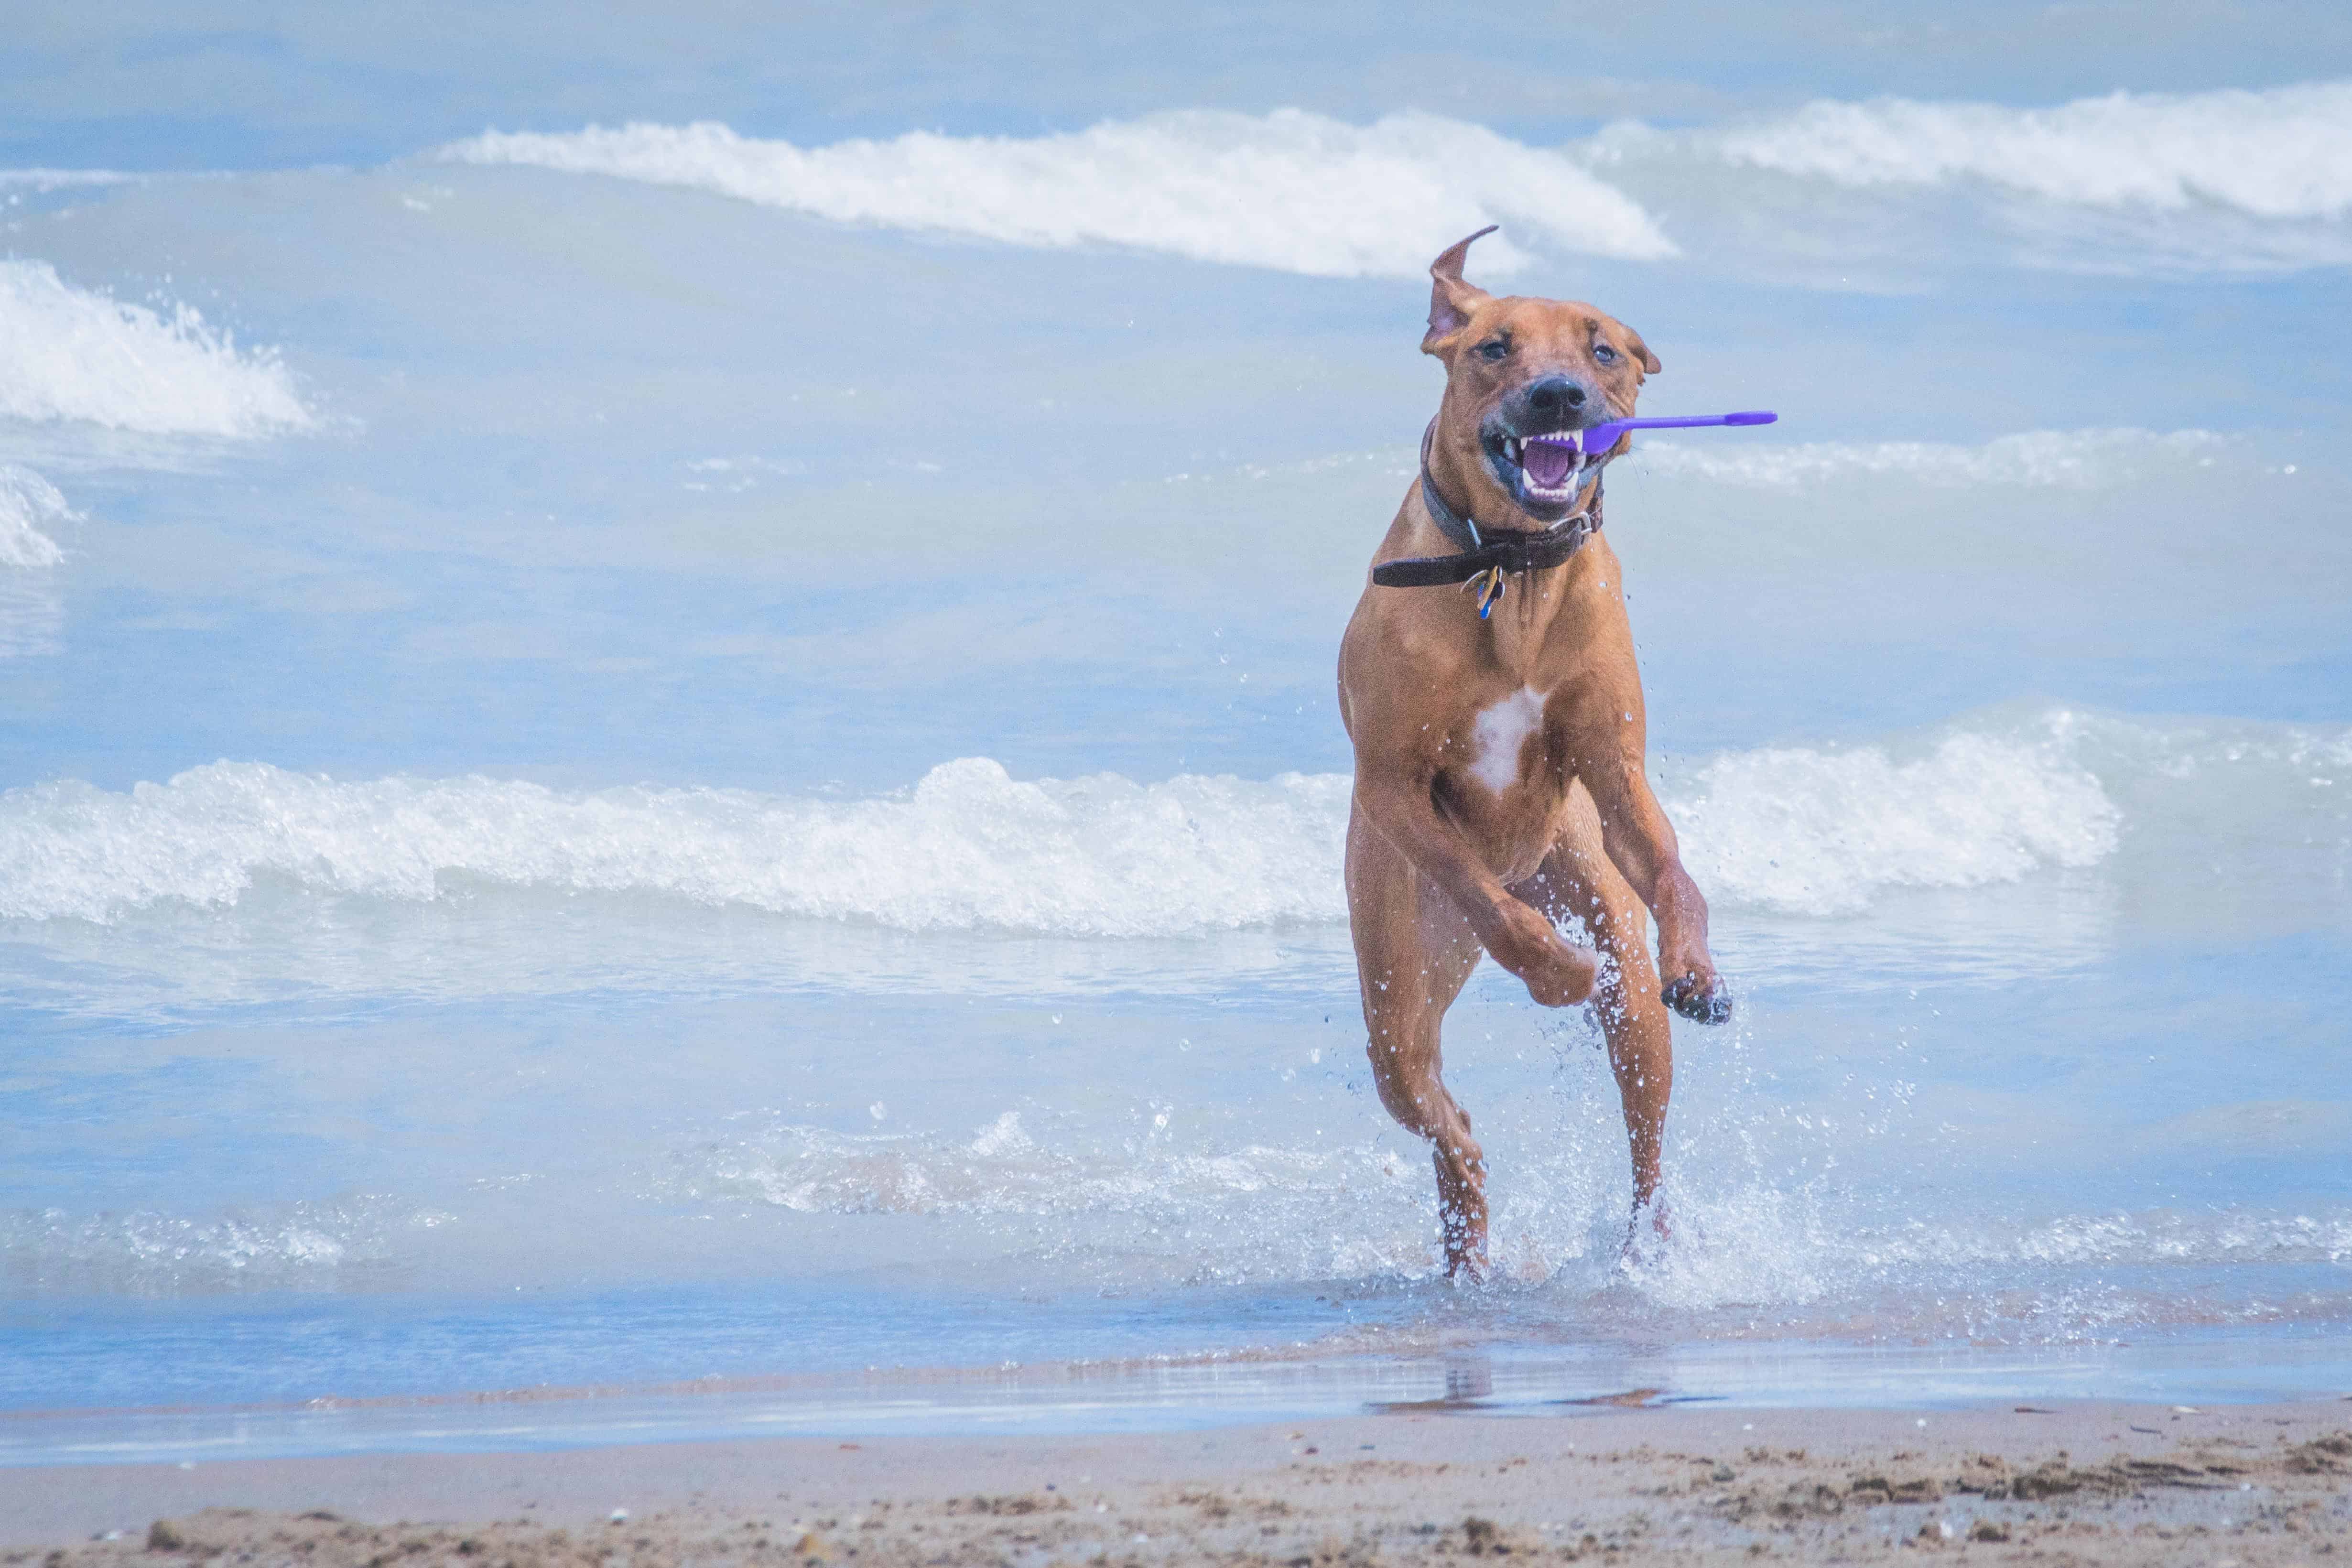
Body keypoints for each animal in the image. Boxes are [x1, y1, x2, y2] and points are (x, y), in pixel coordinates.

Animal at [1336, 227, 1740, 1278]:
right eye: (1493, 346)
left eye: (1603, 350)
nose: (1558, 396)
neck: (1507, 570)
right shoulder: (1393, 786)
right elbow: (1485, 897)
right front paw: (1553, 972)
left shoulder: (1615, 773)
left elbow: (1674, 870)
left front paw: (1700, 966)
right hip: (1396, 980)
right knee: (1444, 1115)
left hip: (1599, 914)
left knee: (1644, 1128)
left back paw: (1646, 1248)